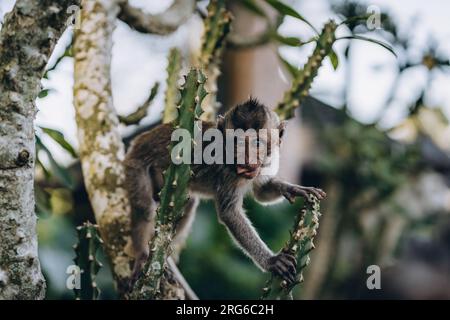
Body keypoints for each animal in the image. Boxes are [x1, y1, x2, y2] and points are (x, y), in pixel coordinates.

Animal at [124, 98, 326, 288]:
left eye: (257, 142)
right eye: (238, 142)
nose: (247, 159)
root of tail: (139, 141)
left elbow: (261, 193)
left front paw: (292, 188)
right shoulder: (227, 171)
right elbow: (229, 213)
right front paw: (271, 261)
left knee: (187, 205)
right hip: (136, 166)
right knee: (145, 208)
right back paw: (142, 254)